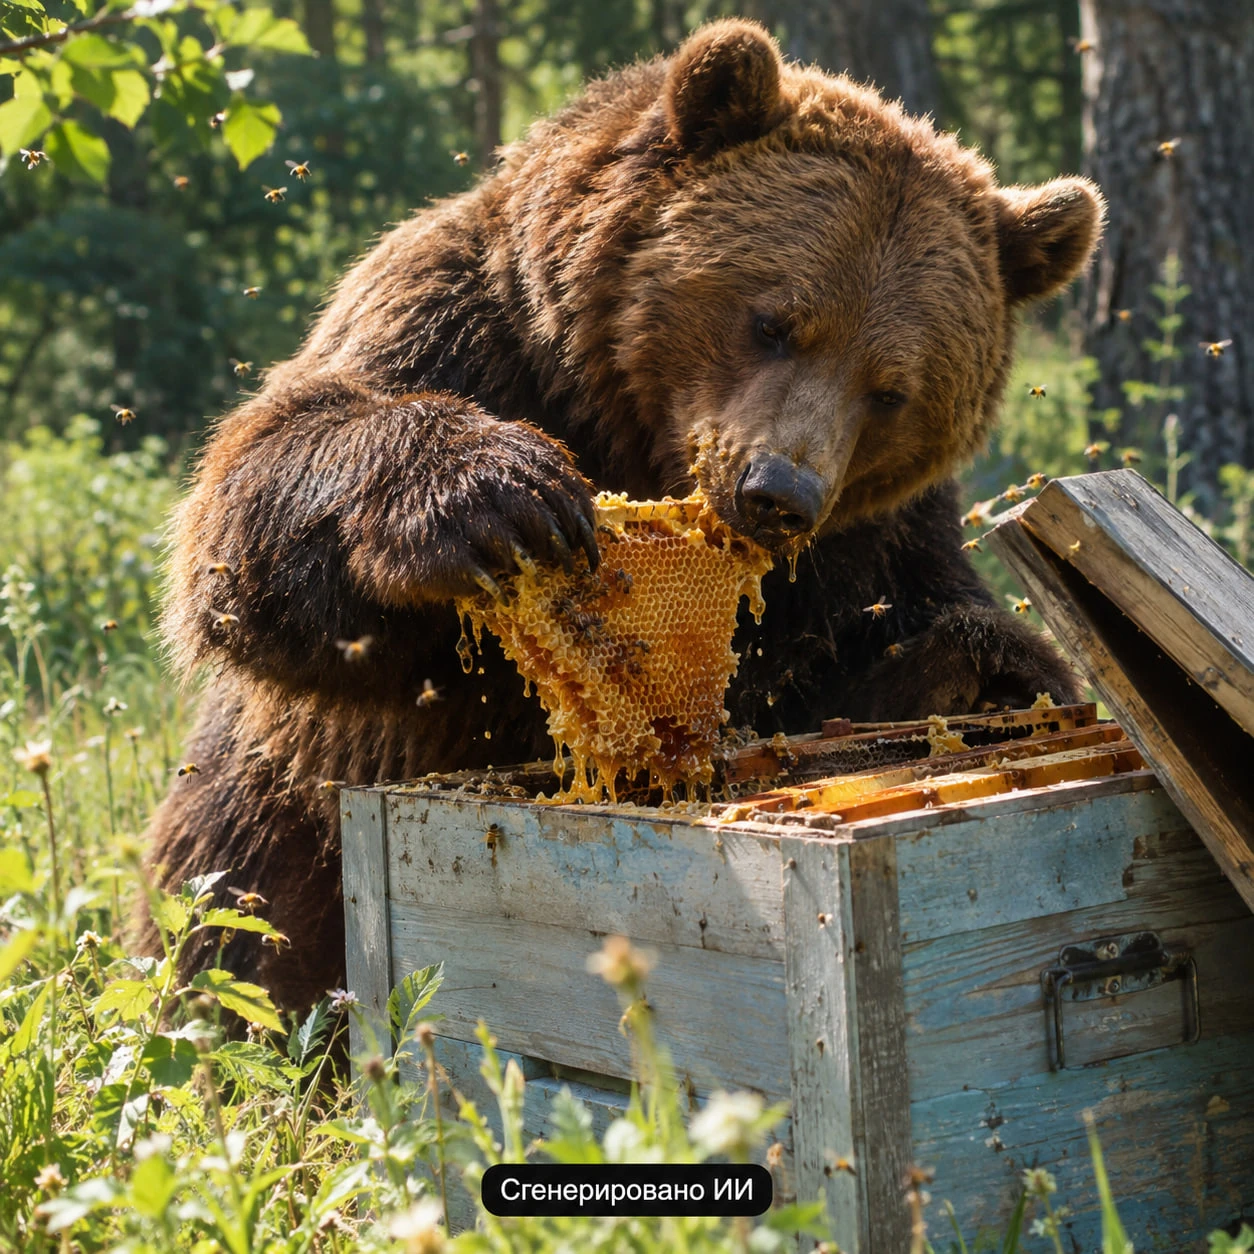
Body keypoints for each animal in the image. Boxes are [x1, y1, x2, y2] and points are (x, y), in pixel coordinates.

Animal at [143, 19, 1103, 1010]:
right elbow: (260, 496)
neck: (627, 428)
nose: (776, 494)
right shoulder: (472, 328)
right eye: (773, 322)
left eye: (890, 390)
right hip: (273, 806)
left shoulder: (875, 540)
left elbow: (850, 675)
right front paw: (503, 499)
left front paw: (982, 679)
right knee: (234, 920)